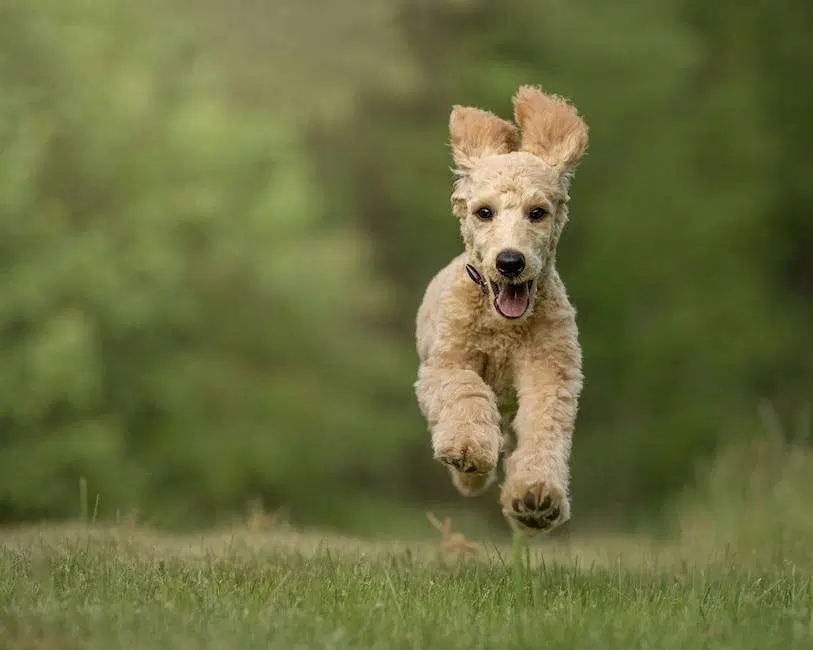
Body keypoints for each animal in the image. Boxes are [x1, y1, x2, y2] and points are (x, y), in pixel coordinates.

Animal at [416, 83, 588, 536]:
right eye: (484, 212)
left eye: (537, 212)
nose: (510, 262)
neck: (503, 328)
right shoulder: (444, 365)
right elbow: (465, 390)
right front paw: (469, 450)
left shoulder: (550, 373)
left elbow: (544, 430)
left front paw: (536, 497)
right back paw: (470, 475)